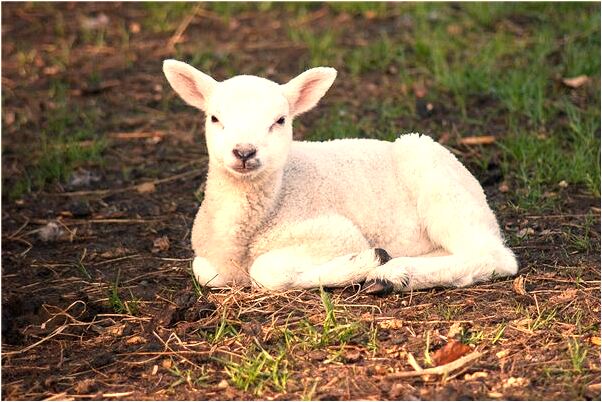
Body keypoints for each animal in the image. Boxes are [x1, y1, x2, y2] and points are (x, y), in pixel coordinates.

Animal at [163, 58, 516, 294]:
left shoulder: (336, 233)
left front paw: (364, 262)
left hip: (436, 179)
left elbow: (266, 271)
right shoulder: (209, 258)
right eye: (214, 118)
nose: (244, 152)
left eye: (280, 120)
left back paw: (394, 274)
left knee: (495, 256)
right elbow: (202, 270)